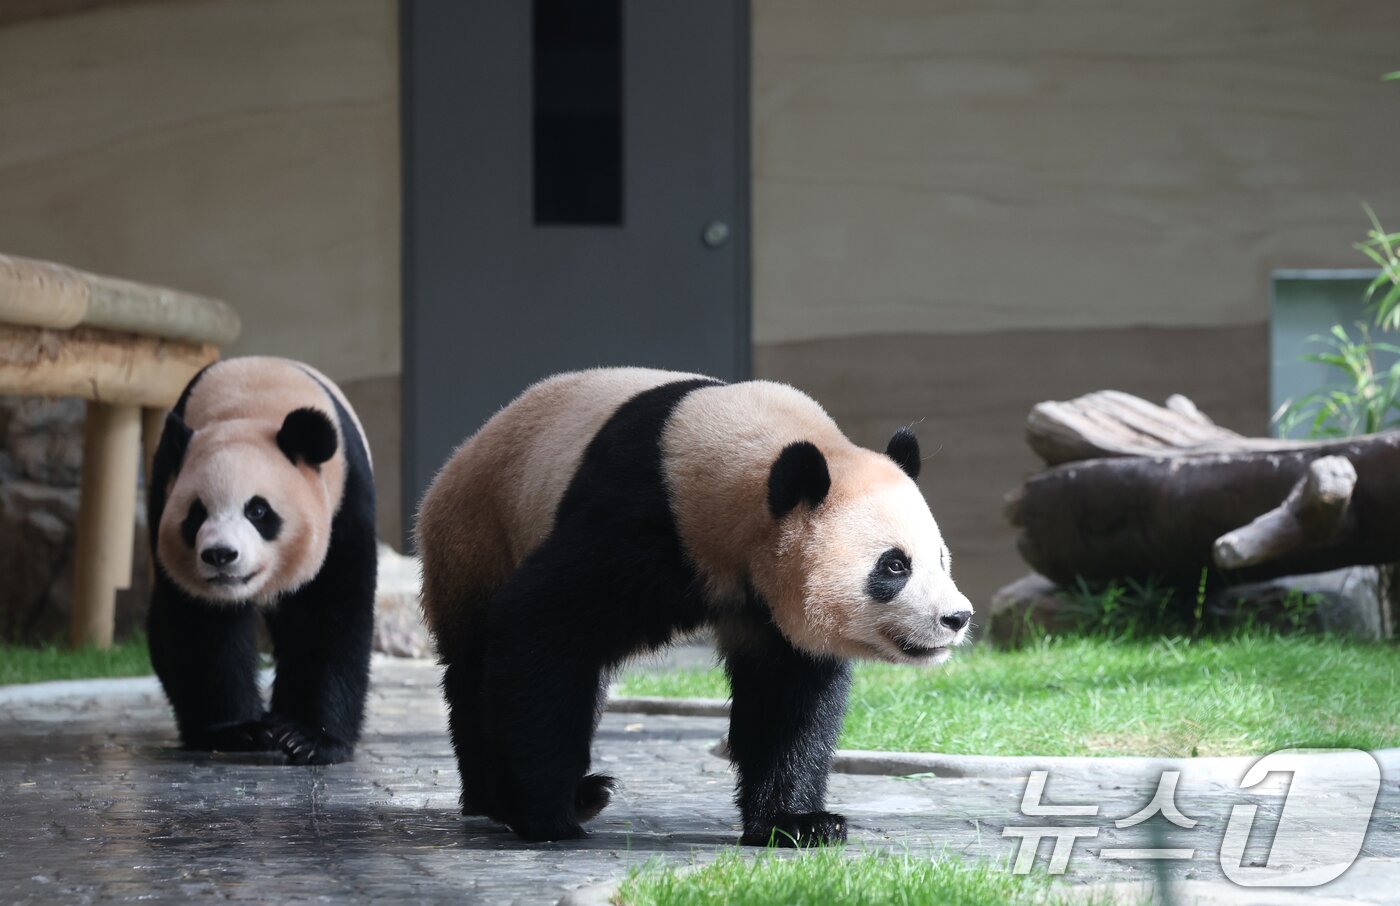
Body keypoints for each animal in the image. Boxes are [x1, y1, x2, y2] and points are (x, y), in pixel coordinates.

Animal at [147, 356, 376, 765]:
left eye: (257, 510)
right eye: (196, 514)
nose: (220, 555)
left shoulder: (345, 503)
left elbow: (330, 615)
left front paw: (309, 739)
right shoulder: (165, 490)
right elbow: (205, 628)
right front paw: (238, 731)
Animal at [416, 367, 973, 845]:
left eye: (942, 559)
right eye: (894, 566)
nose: (957, 618)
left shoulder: (764, 601)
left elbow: (788, 697)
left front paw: (796, 823)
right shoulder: (640, 520)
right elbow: (540, 623)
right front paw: (545, 816)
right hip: (477, 534)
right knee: (478, 667)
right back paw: (523, 799)